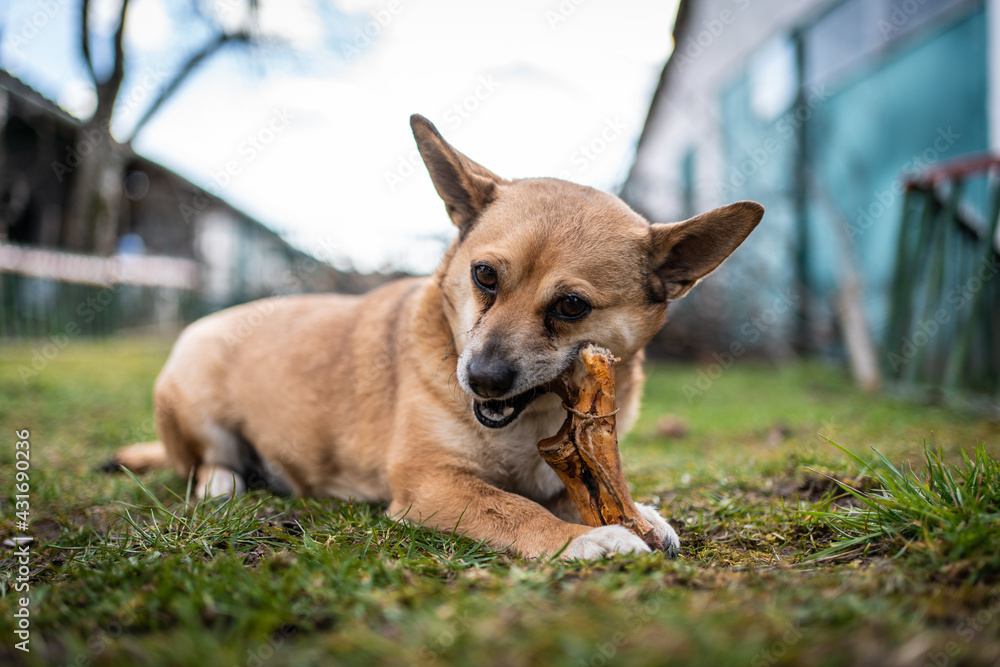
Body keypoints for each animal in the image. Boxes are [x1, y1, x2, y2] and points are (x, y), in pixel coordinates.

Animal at [115, 115, 756, 560]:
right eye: (485, 275)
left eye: (571, 306)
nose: (481, 379)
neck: (526, 423)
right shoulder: (433, 483)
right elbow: (511, 508)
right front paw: (586, 539)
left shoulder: (560, 468)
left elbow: (581, 491)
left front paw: (639, 515)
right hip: (194, 382)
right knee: (204, 463)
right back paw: (224, 481)